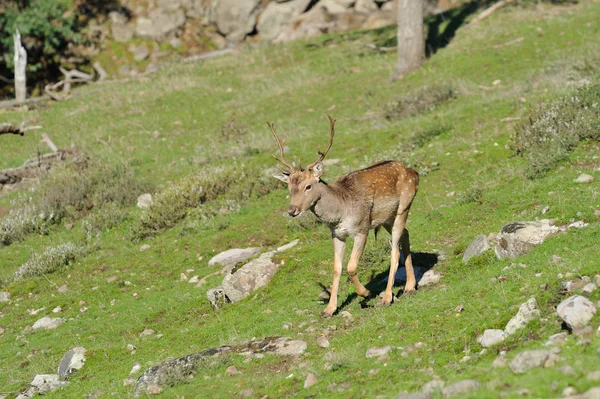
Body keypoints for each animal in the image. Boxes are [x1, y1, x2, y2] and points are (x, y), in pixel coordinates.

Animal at [270, 115, 420, 318]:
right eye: (289, 187)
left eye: (308, 186)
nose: (292, 210)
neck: (340, 213)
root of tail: (414, 172)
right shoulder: (337, 234)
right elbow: (337, 268)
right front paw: (329, 309)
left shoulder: (362, 228)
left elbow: (351, 266)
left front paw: (366, 292)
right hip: (387, 218)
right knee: (406, 233)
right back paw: (410, 287)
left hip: (403, 207)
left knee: (395, 250)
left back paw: (387, 297)